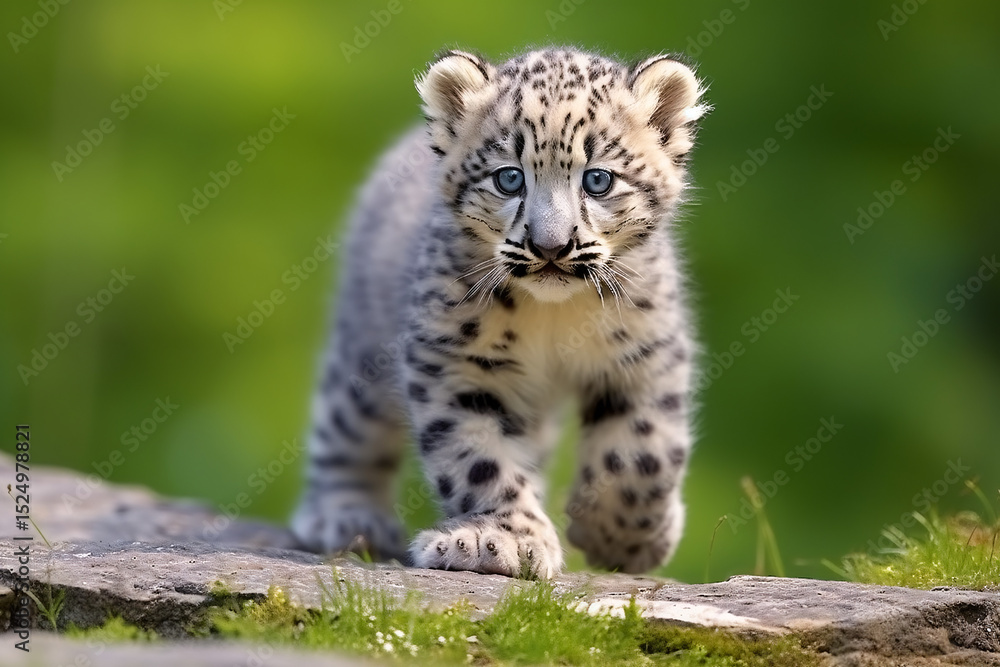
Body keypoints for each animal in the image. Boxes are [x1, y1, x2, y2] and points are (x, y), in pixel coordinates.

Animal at [291, 47, 709, 578]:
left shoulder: (645, 354)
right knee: (344, 429)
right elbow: (479, 455)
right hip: (363, 354)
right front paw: (502, 541)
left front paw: (621, 541)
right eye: (509, 177)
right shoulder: (457, 363)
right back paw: (346, 516)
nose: (551, 246)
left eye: (598, 179)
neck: (554, 319)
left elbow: (643, 453)